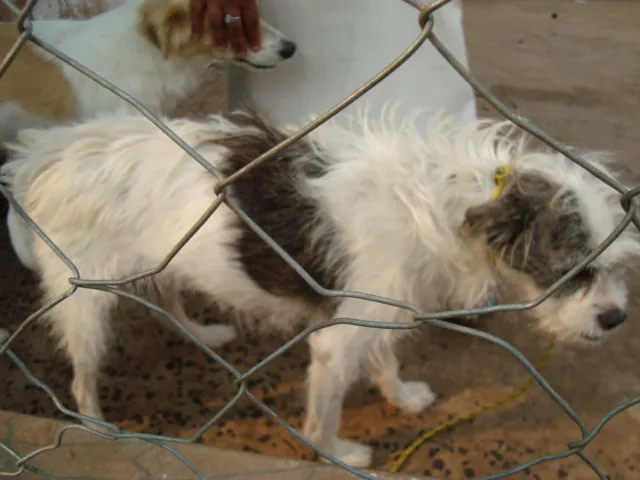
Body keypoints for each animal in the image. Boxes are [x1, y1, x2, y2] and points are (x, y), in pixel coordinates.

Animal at [1, 108, 640, 464]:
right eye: (577, 270)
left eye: (613, 268)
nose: (615, 319)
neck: (452, 204)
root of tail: (46, 152)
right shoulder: (341, 335)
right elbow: (325, 412)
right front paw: (335, 453)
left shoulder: (376, 307)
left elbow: (383, 357)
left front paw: (399, 394)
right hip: (84, 299)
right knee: (82, 373)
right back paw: (95, 424)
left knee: (167, 298)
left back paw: (203, 333)